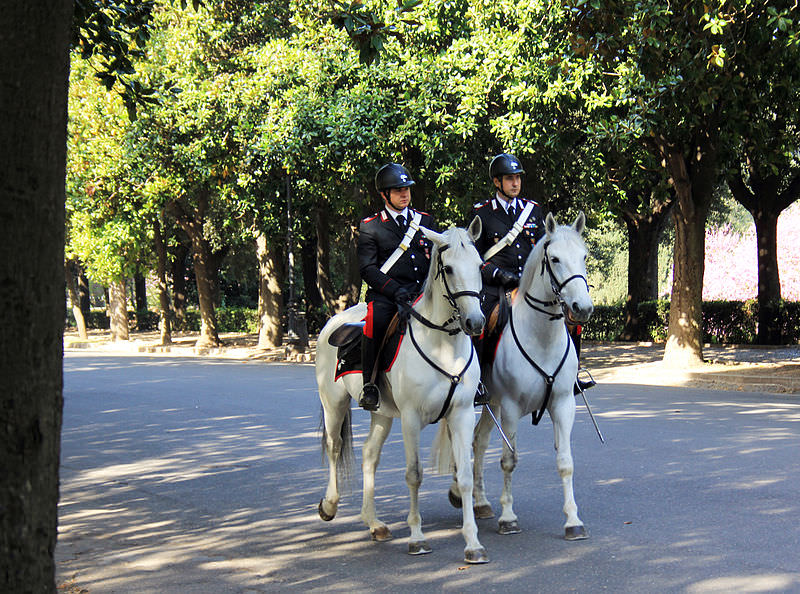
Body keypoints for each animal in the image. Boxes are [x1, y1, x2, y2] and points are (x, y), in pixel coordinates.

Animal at [316, 220, 490, 560]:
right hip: (334, 404)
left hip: (382, 413)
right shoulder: (411, 417)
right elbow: (414, 474)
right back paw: (329, 505)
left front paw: (473, 543)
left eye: (479, 265)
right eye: (449, 268)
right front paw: (417, 537)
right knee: (334, 446)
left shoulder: (462, 414)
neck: (443, 344)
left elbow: (464, 474)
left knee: (369, 454)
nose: (475, 322)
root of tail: (337, 319)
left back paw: (374, 523)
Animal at [450, 212, 592, 536]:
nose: (582, 308)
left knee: (477, 441)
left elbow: (566, 461)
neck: (541, 338)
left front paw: (573, 520)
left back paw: (480, 502)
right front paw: (508, 517)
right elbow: (508, 460)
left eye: (584, 256)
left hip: (492, 404)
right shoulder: (512, 408)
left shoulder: (563, 404)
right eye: (555, 259)